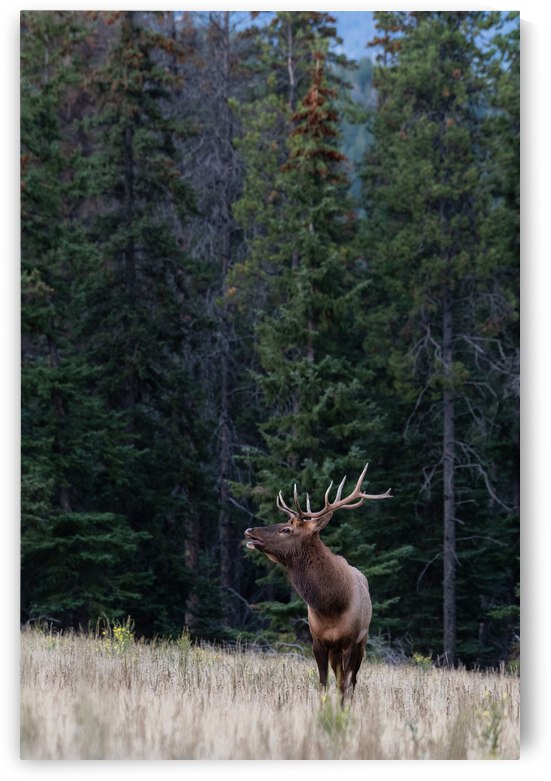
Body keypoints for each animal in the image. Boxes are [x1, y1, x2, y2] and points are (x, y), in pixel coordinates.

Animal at [244, 463, 391, 706]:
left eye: (286, 529)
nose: (250, 530)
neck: (331, 605)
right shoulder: (318, 641)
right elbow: (323, 683)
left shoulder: (350, 641)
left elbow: (344, 684)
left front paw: (341, 710)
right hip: (335, 651)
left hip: (362, 641)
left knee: (352, 681)